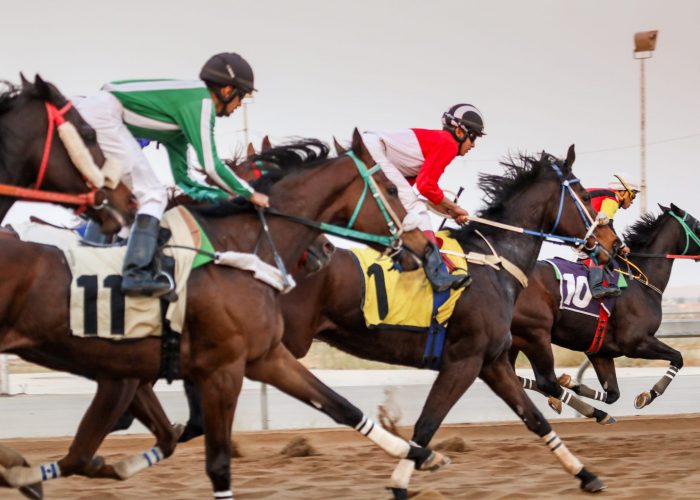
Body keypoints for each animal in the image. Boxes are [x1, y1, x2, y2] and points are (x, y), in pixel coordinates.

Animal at [0, 132, 451, 499]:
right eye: (391, 187)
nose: (423, 246)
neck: (229, 248)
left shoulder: (261, 357)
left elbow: (341, 406)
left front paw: (424, 455)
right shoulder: (211, 371)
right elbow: (210, 460)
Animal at [509, 204, 700, 420]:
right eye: (697, 224)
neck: (641, 282)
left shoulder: (601, 351)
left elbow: (612, 395)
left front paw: (571, 382)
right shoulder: (635, 342)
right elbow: (678, 357)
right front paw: (647, 395)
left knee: (518, 376)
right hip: (534, 335)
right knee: (543, 381)